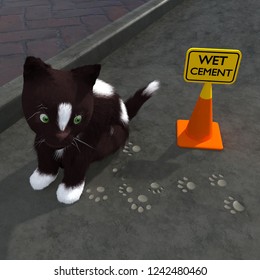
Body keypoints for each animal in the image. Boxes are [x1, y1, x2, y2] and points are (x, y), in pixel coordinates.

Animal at [22, 56, 159, 203]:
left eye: (78, 119)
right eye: (44, 118)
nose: (61, 138)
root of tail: (125, 113)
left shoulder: (89, 133)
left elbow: (78, 159)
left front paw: (68, 192)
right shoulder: (43, 137)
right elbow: (44, 152)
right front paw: (41, 178)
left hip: (113, 131)